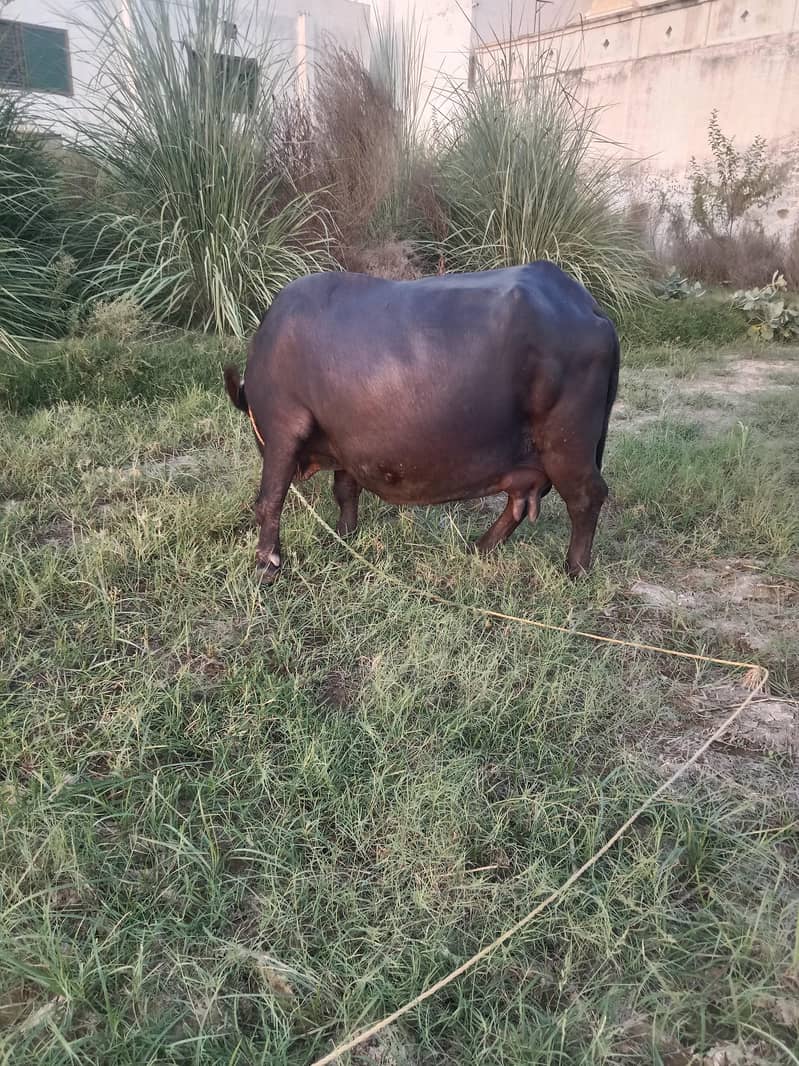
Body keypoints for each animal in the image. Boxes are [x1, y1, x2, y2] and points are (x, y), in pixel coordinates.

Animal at [224, 262, 619, 582]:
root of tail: (587, 304)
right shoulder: (346, 444)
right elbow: (345, 490)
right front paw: (344, 535)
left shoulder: (282, 430)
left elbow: (269, 500)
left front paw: (266, 564)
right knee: (521, 500)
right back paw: (480, 547)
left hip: (567, 444)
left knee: (586, 497)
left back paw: (575, 569)